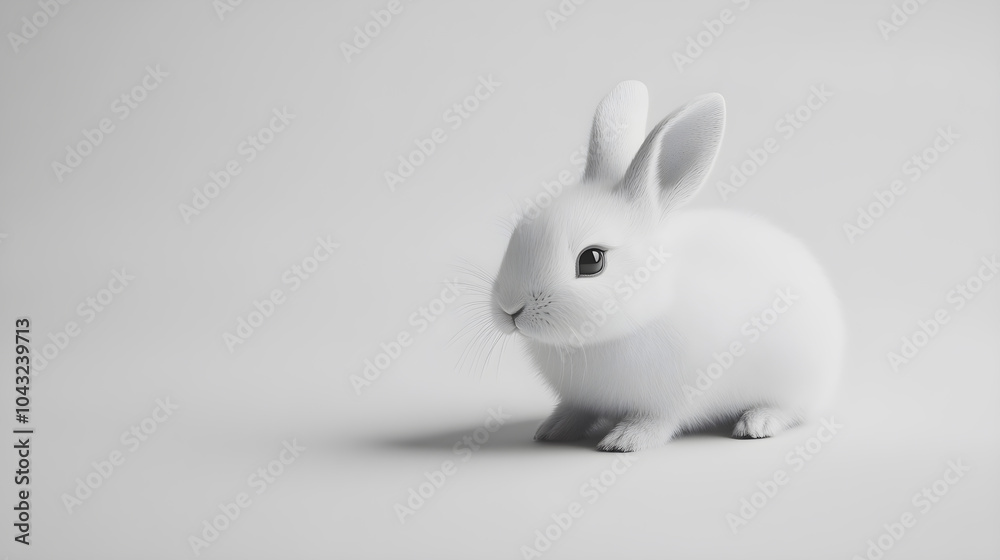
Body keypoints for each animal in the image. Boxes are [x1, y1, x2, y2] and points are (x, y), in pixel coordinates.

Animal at [488, 80, 844, 452]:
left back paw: (757, 422)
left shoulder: (672, 401)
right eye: (517, 233)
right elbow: (576, 410)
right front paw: (553, 428)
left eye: (591, 261)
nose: (510, 309)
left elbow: (657, 420)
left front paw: (626, 440)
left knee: (790, 410)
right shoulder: (580, 398)